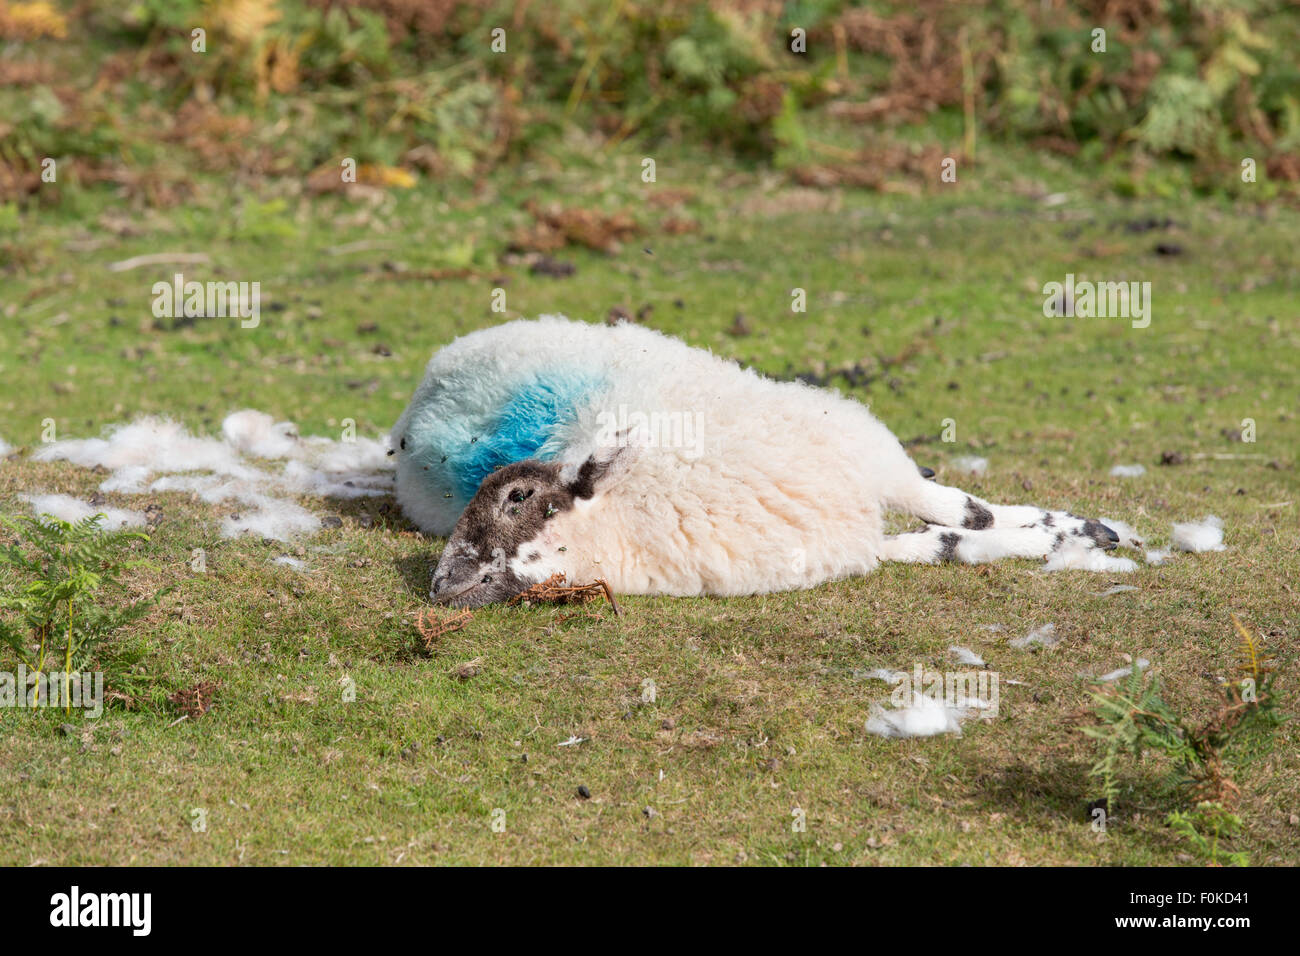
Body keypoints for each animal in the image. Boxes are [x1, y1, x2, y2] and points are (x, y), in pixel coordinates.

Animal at [389, 316, 1131, 608]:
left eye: (516, 497)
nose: (442, 585)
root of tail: (417, 406)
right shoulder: (843, 539)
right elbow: (946, 542)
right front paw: (1058, 539)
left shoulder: (866, 459)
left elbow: (965, 513)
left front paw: (1080, 530)